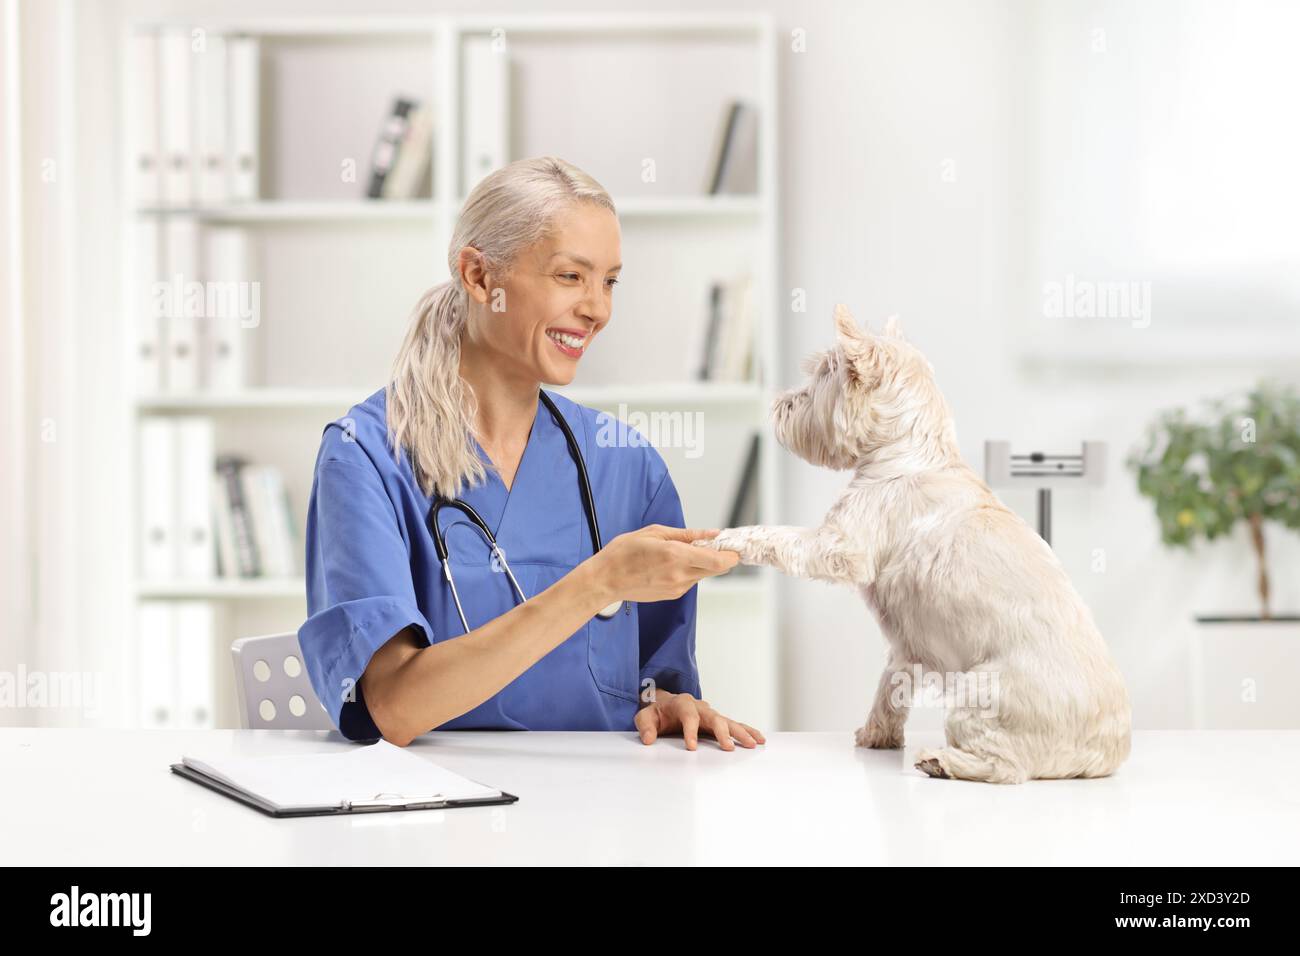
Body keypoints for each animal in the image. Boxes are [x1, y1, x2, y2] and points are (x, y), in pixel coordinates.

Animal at [696, 306, 1133, 785]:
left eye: (822, 376)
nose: (780, 405)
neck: (909, 454)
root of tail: (1101, 753)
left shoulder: (841, 545)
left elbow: (779, 535)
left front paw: (729, 536)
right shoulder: (906, 647)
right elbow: (889, 687)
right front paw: (876, 735)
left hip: (979, 696)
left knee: (1006, 766)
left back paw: (941, 762)